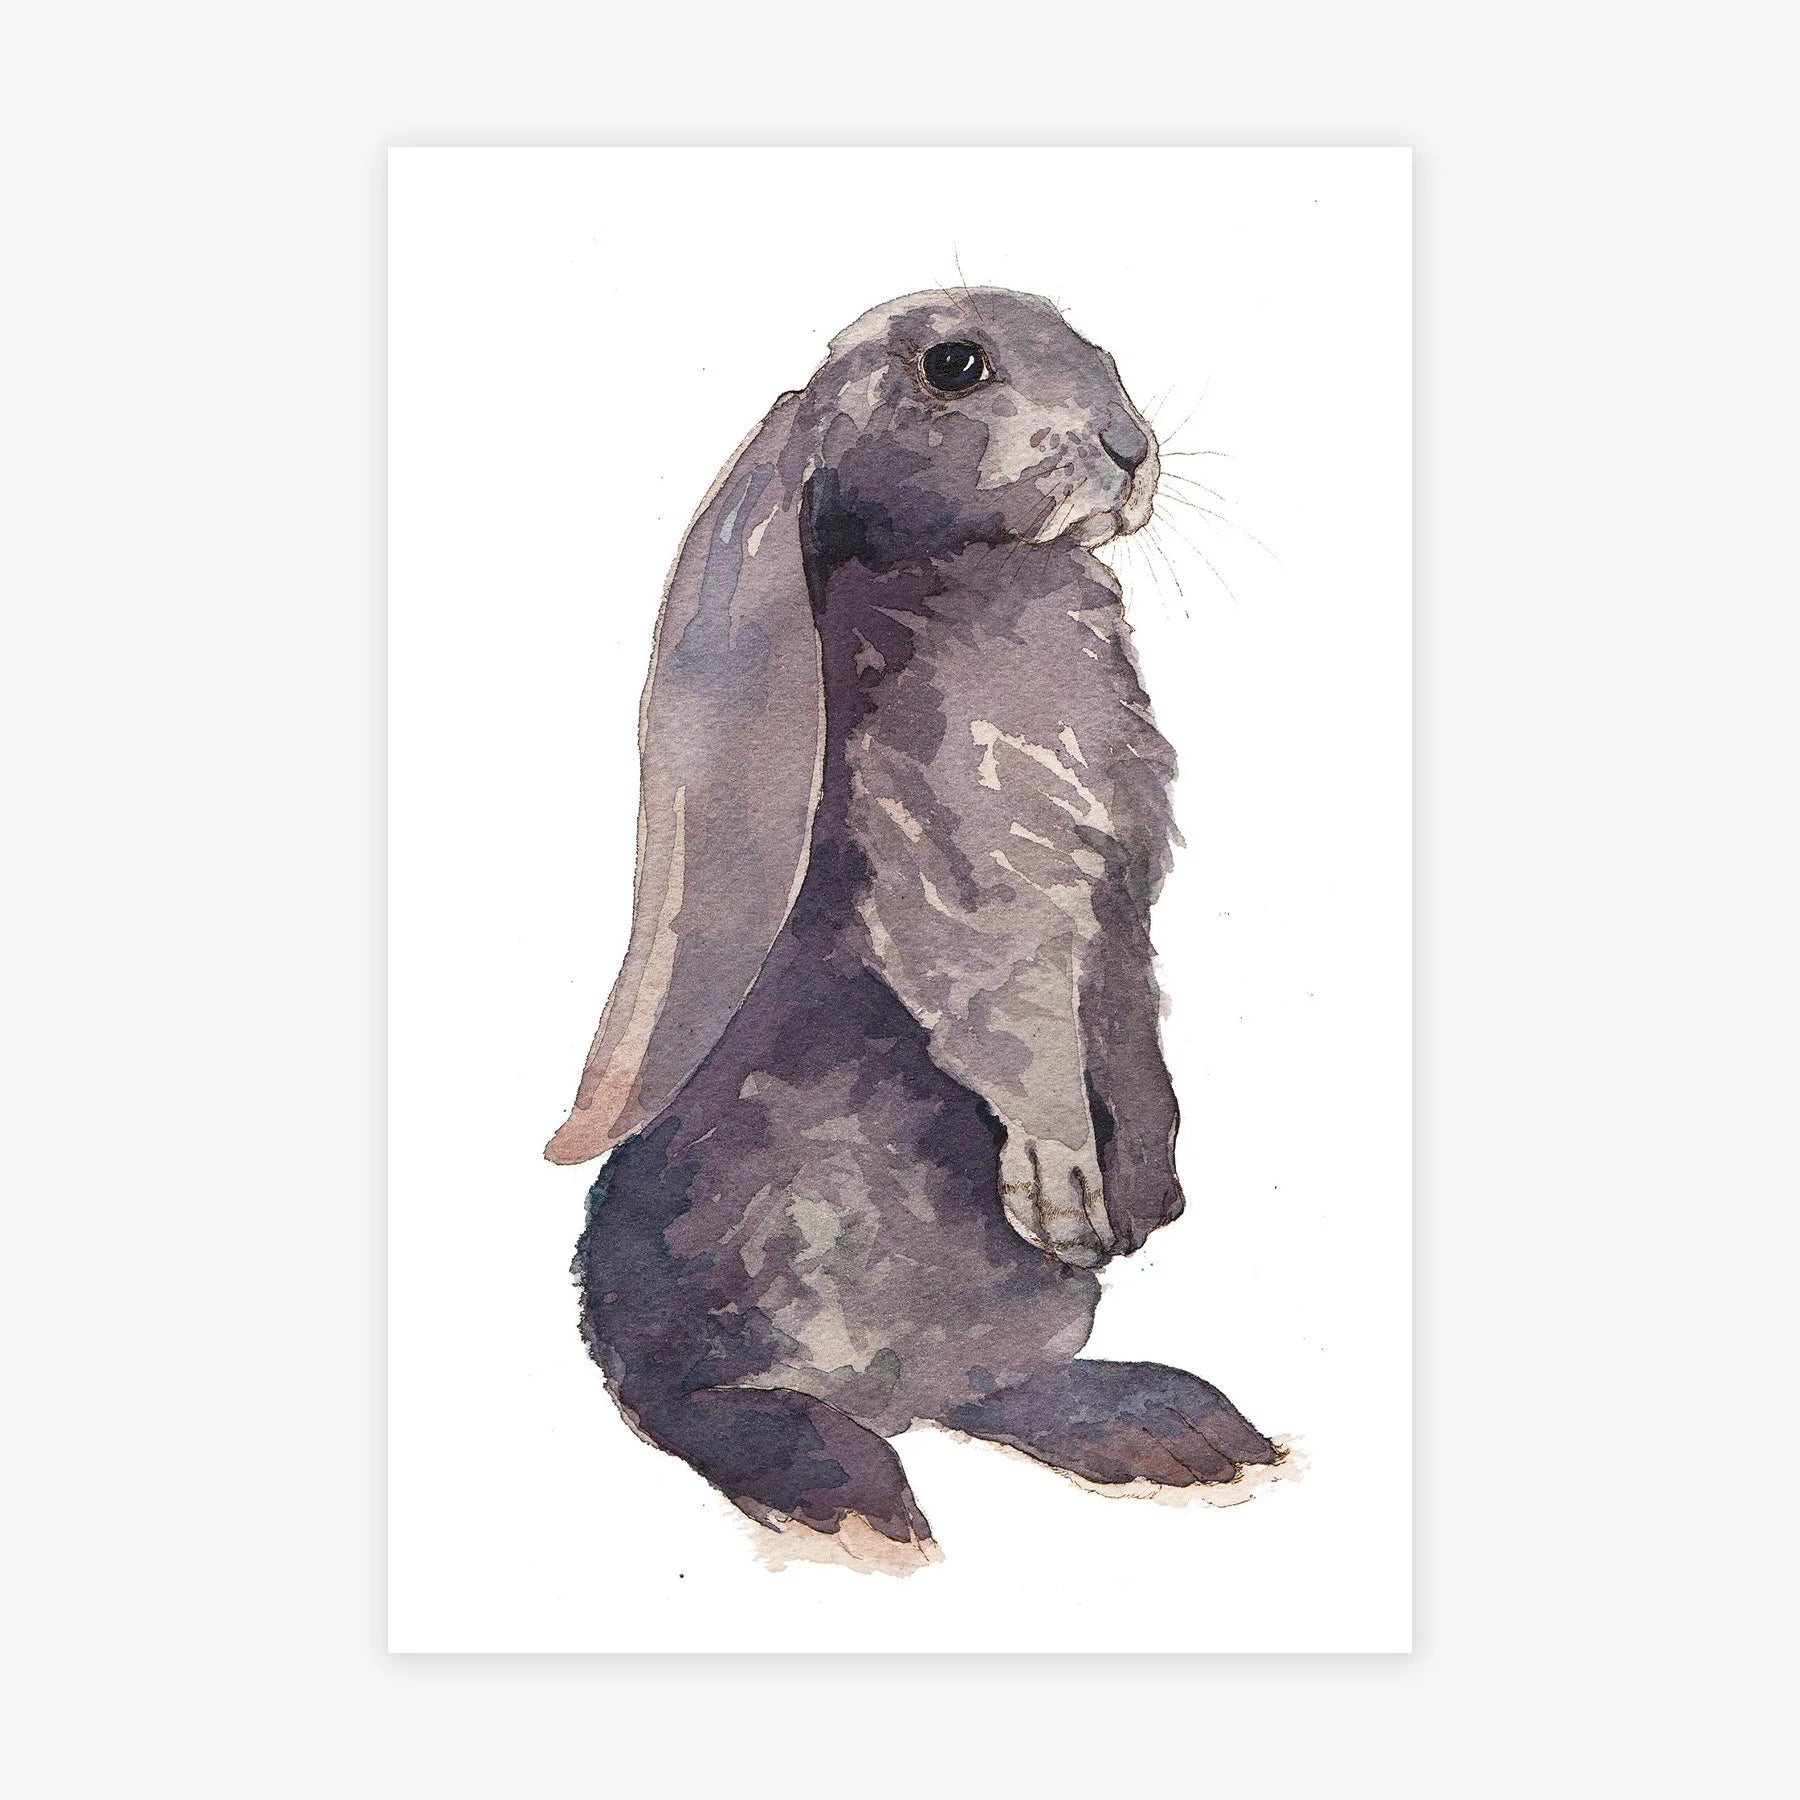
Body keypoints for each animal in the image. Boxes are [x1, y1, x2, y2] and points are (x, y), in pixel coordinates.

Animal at [546, 287, 1281, 1558]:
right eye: (953, 365)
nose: (1130, 448)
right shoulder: (967, 879)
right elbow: (1014, 1030)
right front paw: (1070, 1194)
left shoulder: (1119, 893)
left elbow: (1129, 1016)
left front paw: (1150, 1190)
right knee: (695, 1400)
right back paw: (849, 1497)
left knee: (983, 1391)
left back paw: (1168, 1430)